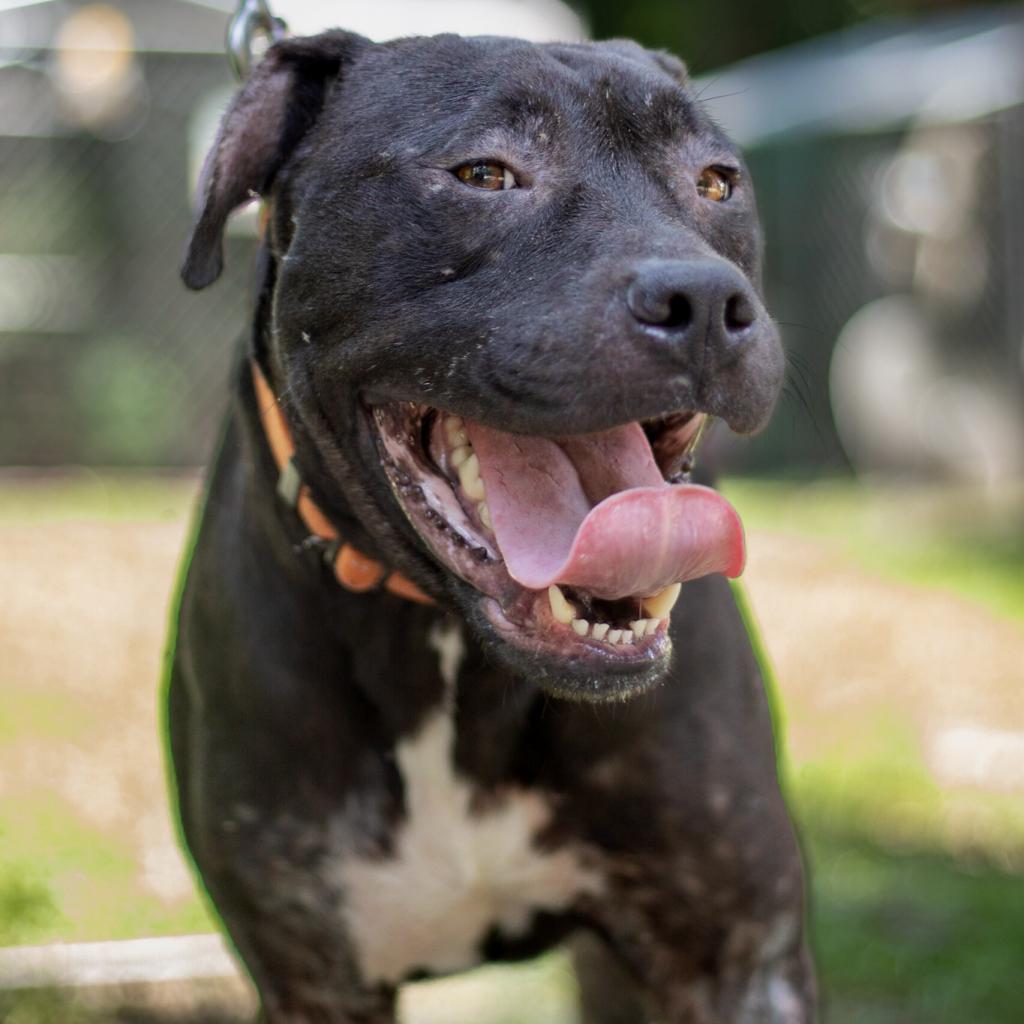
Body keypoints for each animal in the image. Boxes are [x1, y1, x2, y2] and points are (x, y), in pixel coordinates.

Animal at [169, 29, 815, 1024]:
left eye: (717, 181)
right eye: (484, 173)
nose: (706, 303)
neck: (445, 646)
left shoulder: (745, 957)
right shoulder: (316, 974)